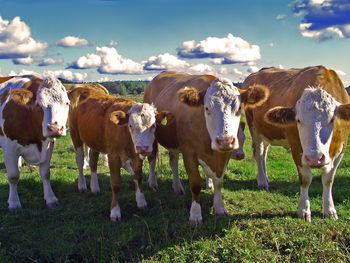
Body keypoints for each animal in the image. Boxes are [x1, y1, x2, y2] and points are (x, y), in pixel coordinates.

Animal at [0, 75, 70, 210]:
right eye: (39, 104)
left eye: (67, 103)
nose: (55, 129)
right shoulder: (9, 147)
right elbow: (13, 176)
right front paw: (14, 202)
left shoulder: (48, 144)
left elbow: (46, 174)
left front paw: (51, 199)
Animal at [67, 87, 172, 222]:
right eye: (130, 125)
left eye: (153, 125)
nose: (143, 148)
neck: (126, 137)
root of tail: (81, 88)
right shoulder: (113, 157)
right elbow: (116, 184)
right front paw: (115, 211)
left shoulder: (137, 157)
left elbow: (138, 177)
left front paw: (141, 201)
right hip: (75, 135)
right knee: (80, 161)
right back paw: (82, 185)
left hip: (95, 141)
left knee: (93, 162)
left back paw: (95, 187)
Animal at [143, 71, 268, 226]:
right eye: (207, 108)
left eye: (239, 108)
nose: (225, 141)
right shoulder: (189, 152)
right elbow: (196, 184)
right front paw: (195, 215)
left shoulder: (224, 155)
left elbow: (219, 181)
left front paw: (219, 207)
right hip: (152, 138)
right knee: (152, 159)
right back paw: (153, 183)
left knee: (173, 162)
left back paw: (177, 187)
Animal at [243, 66, 350, 223]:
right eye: (298, 120)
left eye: (332, 119)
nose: (314, 158)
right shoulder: (296, 148)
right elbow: (305, 179)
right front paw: (304, 210)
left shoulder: (341, 148)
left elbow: (328, 179)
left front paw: (329, 210)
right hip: (254, 128)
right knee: (258, 153)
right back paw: (262, 181)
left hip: (267, 132)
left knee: (263, 155)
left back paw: (265, 177)